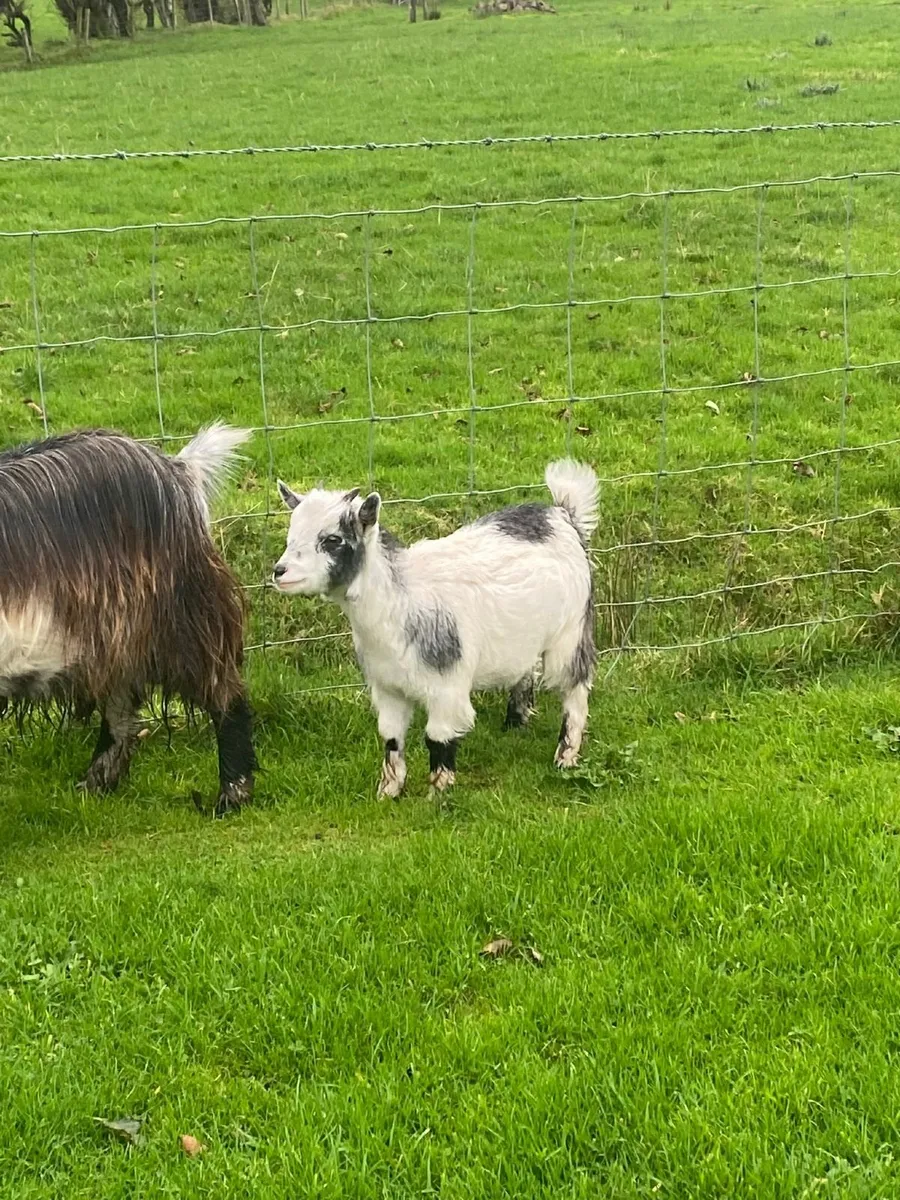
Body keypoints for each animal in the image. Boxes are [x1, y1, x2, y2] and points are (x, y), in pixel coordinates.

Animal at [0, 423, 256, 816]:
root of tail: (177, 469)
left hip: (182, 619)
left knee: (224, 692)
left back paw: (231, 796)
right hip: (117, 638)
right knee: (121, 708)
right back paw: (94, 786)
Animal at [273, 460, 598, 795]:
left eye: (332, 540)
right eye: (291, 533)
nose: (279, 572)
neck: (400, 601)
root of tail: (563, 515)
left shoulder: (446, 688)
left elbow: (437, 739)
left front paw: (439, 792)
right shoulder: (387, 687)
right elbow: (391, 738)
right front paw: (388, 792)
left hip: (570, 633)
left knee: (575, 690)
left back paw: (566, 756)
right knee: (527, 670)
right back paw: (515, 723)